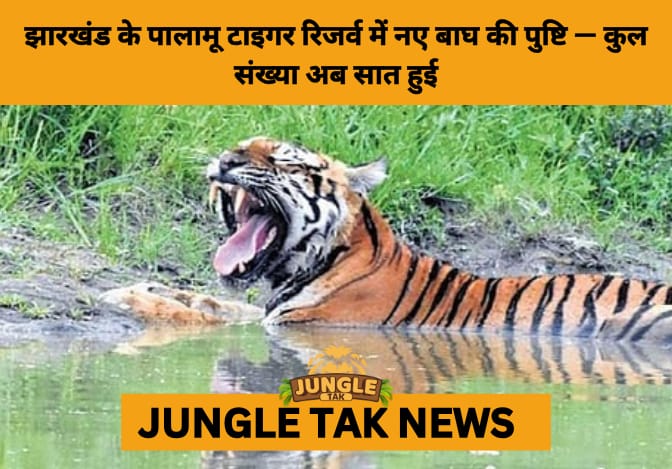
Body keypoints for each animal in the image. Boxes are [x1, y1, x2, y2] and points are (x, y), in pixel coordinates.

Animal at [102, 136, 672, 343]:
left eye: (282, 159)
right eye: (240, 145)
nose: (225, 160)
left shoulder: (309, 324)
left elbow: (209, 315)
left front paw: (124, 298)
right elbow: (211, 303)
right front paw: (139, 289)